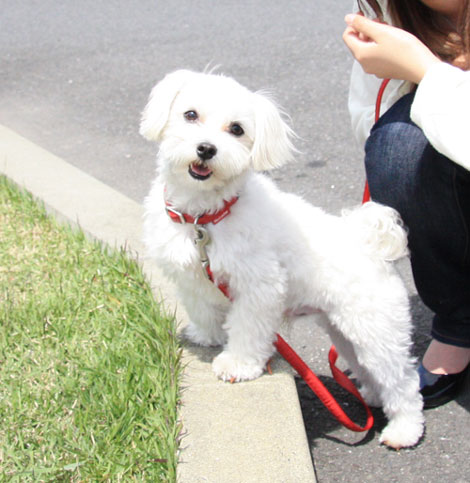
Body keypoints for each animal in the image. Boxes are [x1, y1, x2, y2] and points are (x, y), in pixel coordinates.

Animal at [141, 70, 424, 448]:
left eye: (237, 129)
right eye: (190, 115)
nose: (206, 148)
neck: (205, 218)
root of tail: (369, 243)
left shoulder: (259, 286)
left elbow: (247, 329)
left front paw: (237, 364)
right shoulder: (192, 277)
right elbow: (203, 309)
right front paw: (206, 335)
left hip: (375, 328)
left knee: (403, 381)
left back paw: (404, 429)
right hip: (344, 331)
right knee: (369, 369)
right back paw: (372, 396)